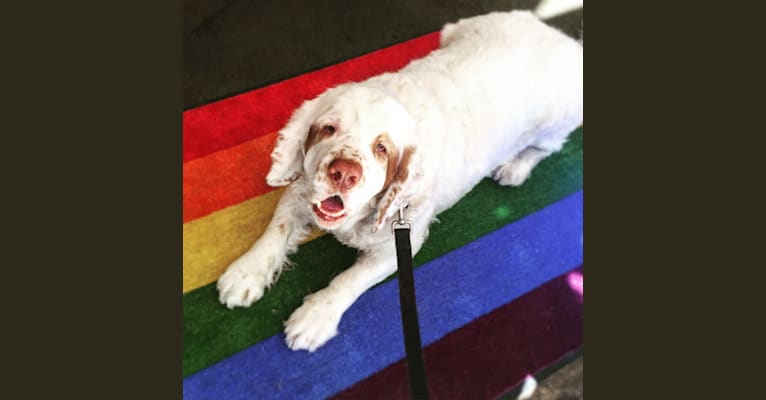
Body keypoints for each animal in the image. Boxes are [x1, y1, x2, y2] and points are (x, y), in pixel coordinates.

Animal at [214, 10, 584, 352]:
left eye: (382, 148)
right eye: (329, 128)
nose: (344, 173)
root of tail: (565, 41)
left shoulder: (399, 245)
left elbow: (349, 280)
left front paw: (314, 317)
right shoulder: (302, 190)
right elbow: (275, 231)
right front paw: (246, 273)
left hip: (555, 124)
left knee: (544, 149)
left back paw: (514, 169)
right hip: (456, 29)